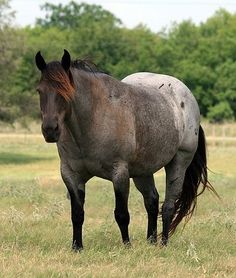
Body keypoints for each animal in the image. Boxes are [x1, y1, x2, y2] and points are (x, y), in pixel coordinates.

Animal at [34, 50, 216, 252]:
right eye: (40, 91)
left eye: (65, 91)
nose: (50, 130)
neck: (94, 117)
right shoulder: (71, 175)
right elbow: (77, 214)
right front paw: (77, 247)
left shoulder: (119, 173)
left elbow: (121, 214)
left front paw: (127, 246)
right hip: (142, 171)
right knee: (152, 201)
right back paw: (151, 241)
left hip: (178, 163)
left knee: (168, 206)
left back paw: (163, 244)